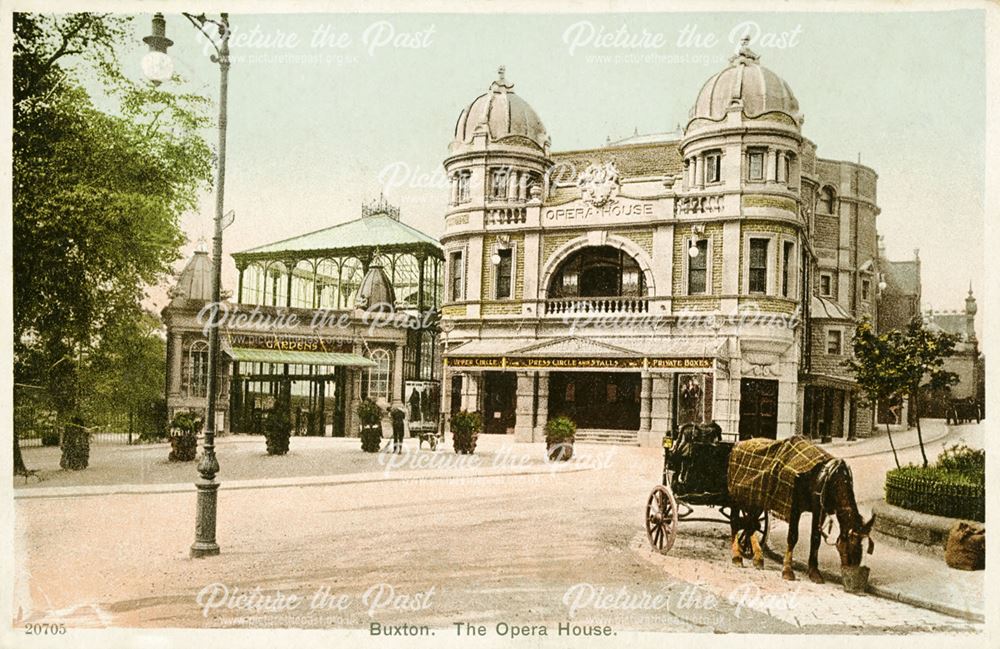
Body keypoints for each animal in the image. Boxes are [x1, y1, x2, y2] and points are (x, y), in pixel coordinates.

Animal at [728, 450, 876, 584]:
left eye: (862, 545)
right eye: (852, 544)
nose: (853, 574)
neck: (826, 478)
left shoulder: (819, 510)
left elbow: (816, 539)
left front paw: (814, 572)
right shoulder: (795, 507)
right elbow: (793, 536)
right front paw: (787, 570)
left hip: (756, 498)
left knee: (750, 523)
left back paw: (757, 557)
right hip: (740, 496)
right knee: (736, 520)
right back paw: (737, 556)